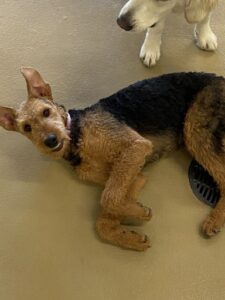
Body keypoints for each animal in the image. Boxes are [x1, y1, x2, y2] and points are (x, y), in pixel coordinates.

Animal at [0, 68, 225, 251]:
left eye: (46, 112)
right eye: (26, 127)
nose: (50, 140)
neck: (77, 137)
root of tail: (220, 78)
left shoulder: (135, 146)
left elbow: (107, 197)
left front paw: (140, 213)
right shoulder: (132, 174)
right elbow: (106, 214)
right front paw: (132, 233)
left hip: (195, 130)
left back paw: (213, 221)